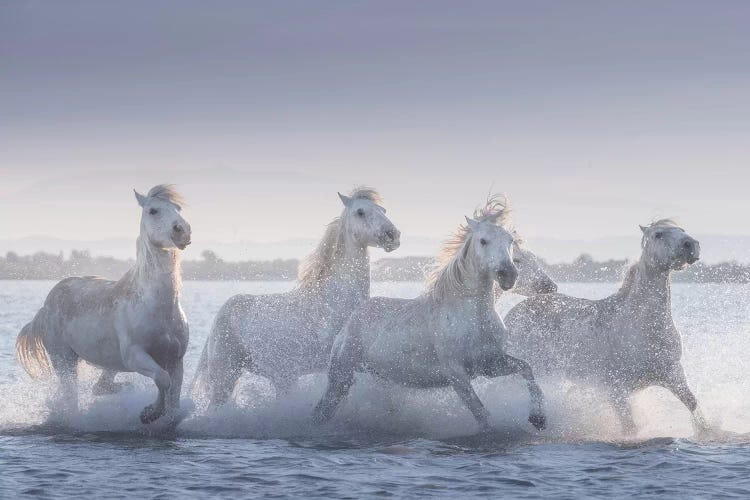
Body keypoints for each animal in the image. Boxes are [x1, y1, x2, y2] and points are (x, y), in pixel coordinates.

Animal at [16, 186, 192, 424]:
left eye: (178, 208)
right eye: (153, 210)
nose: (182, 231)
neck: (157, 306)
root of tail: (45, 307)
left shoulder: (175, 359)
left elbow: (173, 396)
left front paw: (157, 414)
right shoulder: (135, 356)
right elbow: (163, 380)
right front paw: (150, 413)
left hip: (109, 362)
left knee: (100, 387)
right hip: (64, 361)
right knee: (71, 397)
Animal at [194, 188, 402, 406]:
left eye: (383, 210)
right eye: (360, 212)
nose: (393, 235)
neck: (335, 301)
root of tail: (223, 311)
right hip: (226, 376)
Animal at [314, 197, 548, 432]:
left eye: (509, 241)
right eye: (483, 241)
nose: (508, 274)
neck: (473, 317)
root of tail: (350, 320)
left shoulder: (490, 363)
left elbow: (527, 370)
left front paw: (538, 418)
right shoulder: (456, 373)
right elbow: (481, 413)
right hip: (341, 377)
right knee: (323, 409)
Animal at [506, 219, 712, 434]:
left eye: (682, 230)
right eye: (658, 234)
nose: (690, 245)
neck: (644, 326)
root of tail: (512, 315)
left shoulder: (673, 374)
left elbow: (693, 404)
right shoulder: (617, 390)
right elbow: (629, 427)